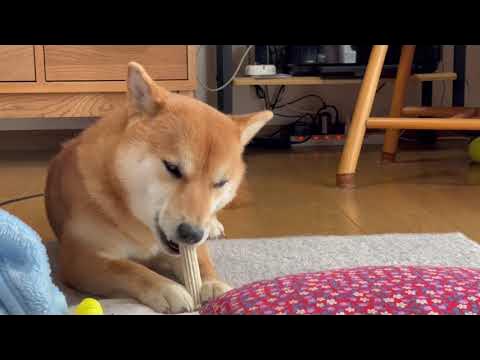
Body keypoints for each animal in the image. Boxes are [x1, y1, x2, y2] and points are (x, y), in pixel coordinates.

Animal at [46, 61, 274, 312]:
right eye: (173, 168)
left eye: (220, 183)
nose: (192, 234)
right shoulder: (78, 258)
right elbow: (129, 269)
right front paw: (166, 288)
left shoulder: (192, 244)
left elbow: (202, 262)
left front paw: (213, 284)